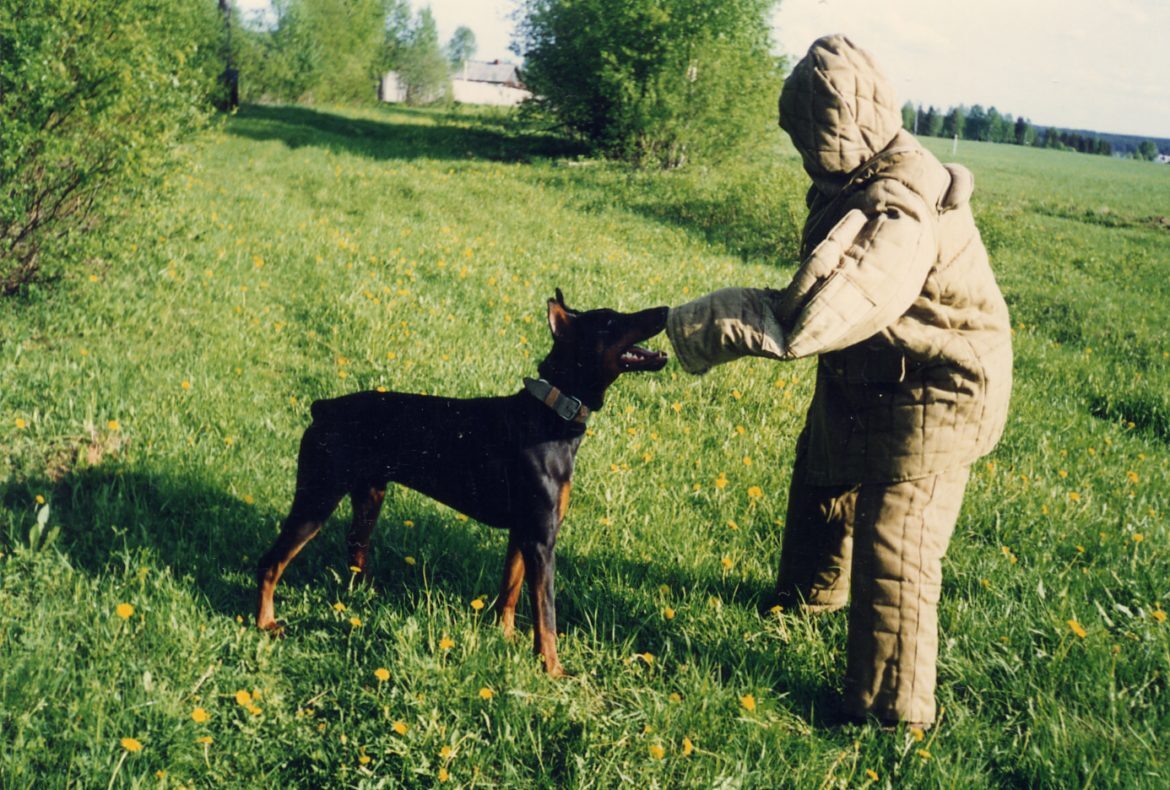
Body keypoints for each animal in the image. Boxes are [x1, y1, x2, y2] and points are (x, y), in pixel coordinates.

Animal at [258, 287, 669, 678]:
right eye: (610, 322)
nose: (665, 309)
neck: (552, 412)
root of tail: (323, 407)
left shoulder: (523, 533)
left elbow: (509, 593)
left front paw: (505, 638)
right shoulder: (541, 540)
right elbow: (546, 616)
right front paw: (553, 670)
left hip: (370, 495)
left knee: (355, 549)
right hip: (317, 497)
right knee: (270, 561)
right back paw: (266, 623)